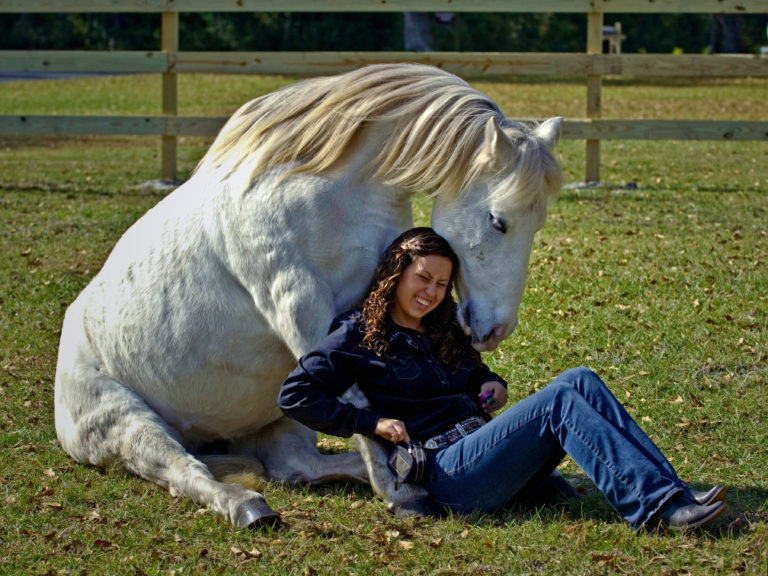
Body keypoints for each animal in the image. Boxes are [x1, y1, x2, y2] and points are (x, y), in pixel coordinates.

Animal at [54, 63, 563, 528]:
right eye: (498, 221)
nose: (495, 329)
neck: (319, 190)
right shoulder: (300, 308)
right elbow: (363, 405)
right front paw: (402, 495)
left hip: (277, 422)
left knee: (295, 465)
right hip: (132, 426)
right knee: (184, 470)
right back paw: (247, 506)